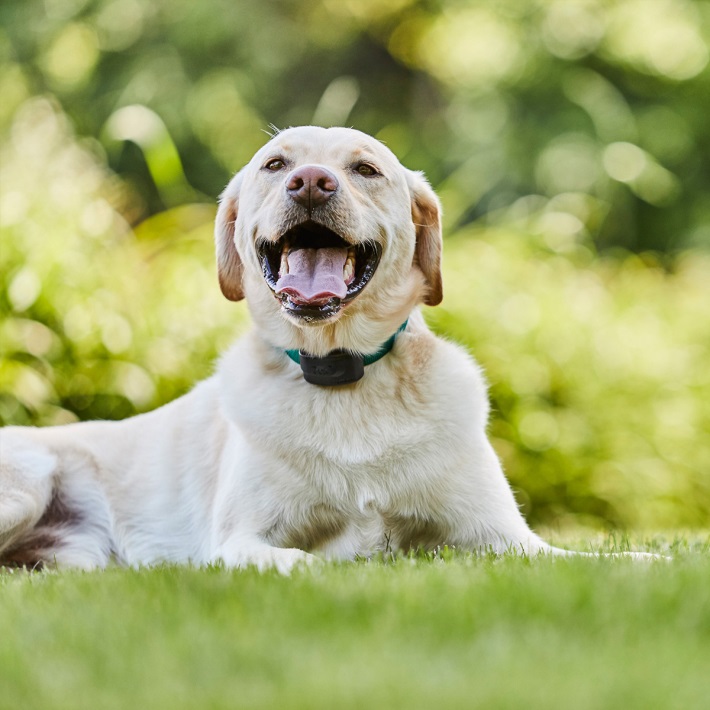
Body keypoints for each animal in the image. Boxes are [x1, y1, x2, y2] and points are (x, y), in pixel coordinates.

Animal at [0, 126, 656, 572]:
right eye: (275, 164)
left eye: (366, 169)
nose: (312, 182)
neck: (340, 372)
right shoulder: (239, 538)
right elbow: (299, 561)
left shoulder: (506, 539)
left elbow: (582, 558)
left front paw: (646, 563)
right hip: (30, 476)